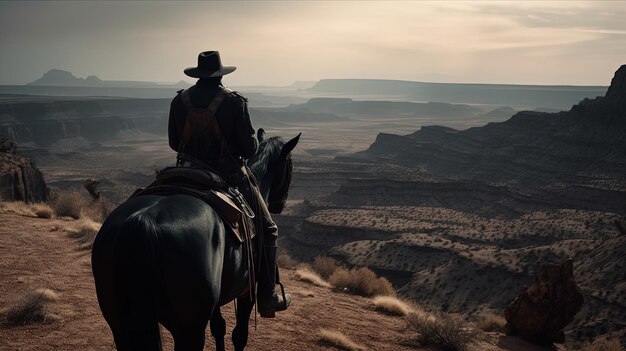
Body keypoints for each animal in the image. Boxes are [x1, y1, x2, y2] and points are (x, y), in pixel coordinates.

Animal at [89, 133, 300, 351]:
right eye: (291, 164)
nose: (279, 205)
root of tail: (142, 220)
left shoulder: (216, 303)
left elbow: (219, 327)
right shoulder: (247, 291)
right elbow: (239, 335)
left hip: (119, 324)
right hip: (189, 329)